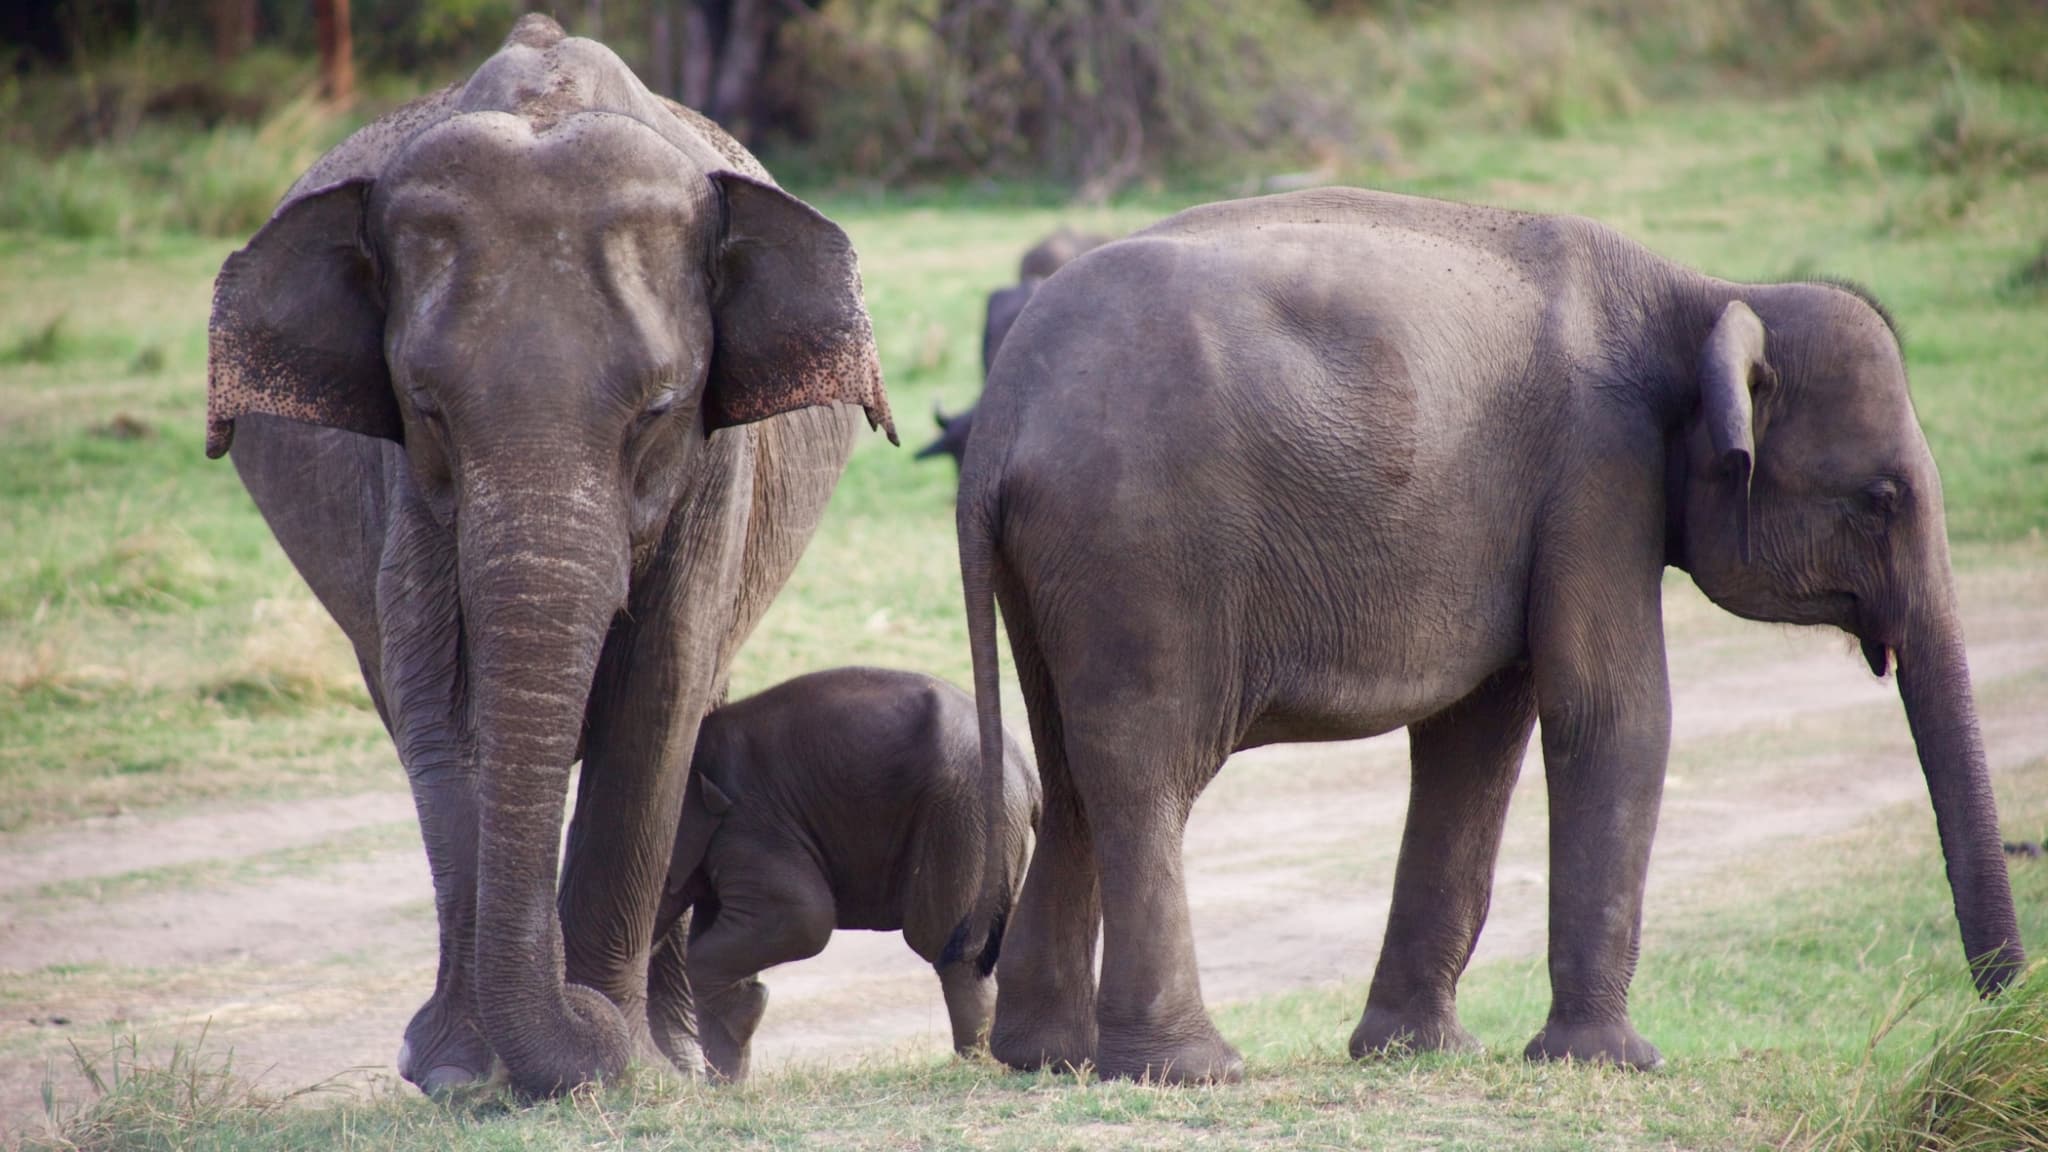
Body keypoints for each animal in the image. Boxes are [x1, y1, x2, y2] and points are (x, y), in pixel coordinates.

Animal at [207, 17, 897, 1090]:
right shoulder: (402, 489)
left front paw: (631, 1068)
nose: (585, 1016)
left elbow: (658, 694)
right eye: (427, 408)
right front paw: (468, 1076)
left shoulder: (716, 464)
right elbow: (441, 703)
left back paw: (685, 1052)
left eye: (657, 409)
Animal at [647, 664, 1040, 1074]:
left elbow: (805, 916)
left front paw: (746, 1010)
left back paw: (975, 1066)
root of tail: (1027, 771)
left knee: (949, 949)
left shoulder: (747, 823)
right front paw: (725, 1081)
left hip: (961, 818)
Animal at [954, 186, 2015, 1074]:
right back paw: (1190, 1069)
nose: (1999, 1016)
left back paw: (1046, 1059)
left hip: (1061, 565)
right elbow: (1612, 710)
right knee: (1145, 771)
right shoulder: (1599, 470)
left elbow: (1477, 736)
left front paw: (1414, 1053)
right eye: (1881, 500)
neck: (1707, 293)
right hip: (1140, 550)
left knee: (1072, 768)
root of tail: (1002, 416)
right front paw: (1612, 1063)